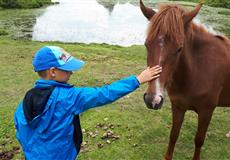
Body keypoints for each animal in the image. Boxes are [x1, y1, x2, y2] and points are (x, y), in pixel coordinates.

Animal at [139, 0, 230, 159]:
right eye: (146, 44)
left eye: (179, 49)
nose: (152, 100)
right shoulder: (178, 107)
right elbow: (173, 135)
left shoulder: (207, 112)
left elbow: (199, 140)